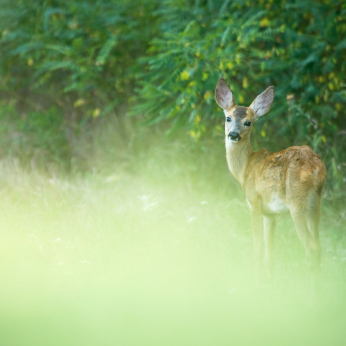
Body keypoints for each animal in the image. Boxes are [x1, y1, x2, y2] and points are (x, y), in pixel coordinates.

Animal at [215, 78, 326, 286]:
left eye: (248, 122)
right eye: (228, 118)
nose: (233, 135)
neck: (245, 169)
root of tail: (318, 170)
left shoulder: (254, 201)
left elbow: (257, 251)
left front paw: (257, 286)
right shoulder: (270, 214)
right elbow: (269, 256)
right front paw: (269, 286)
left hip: (297, 203)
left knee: (311, 248)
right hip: (315, 205)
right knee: (319, 246)